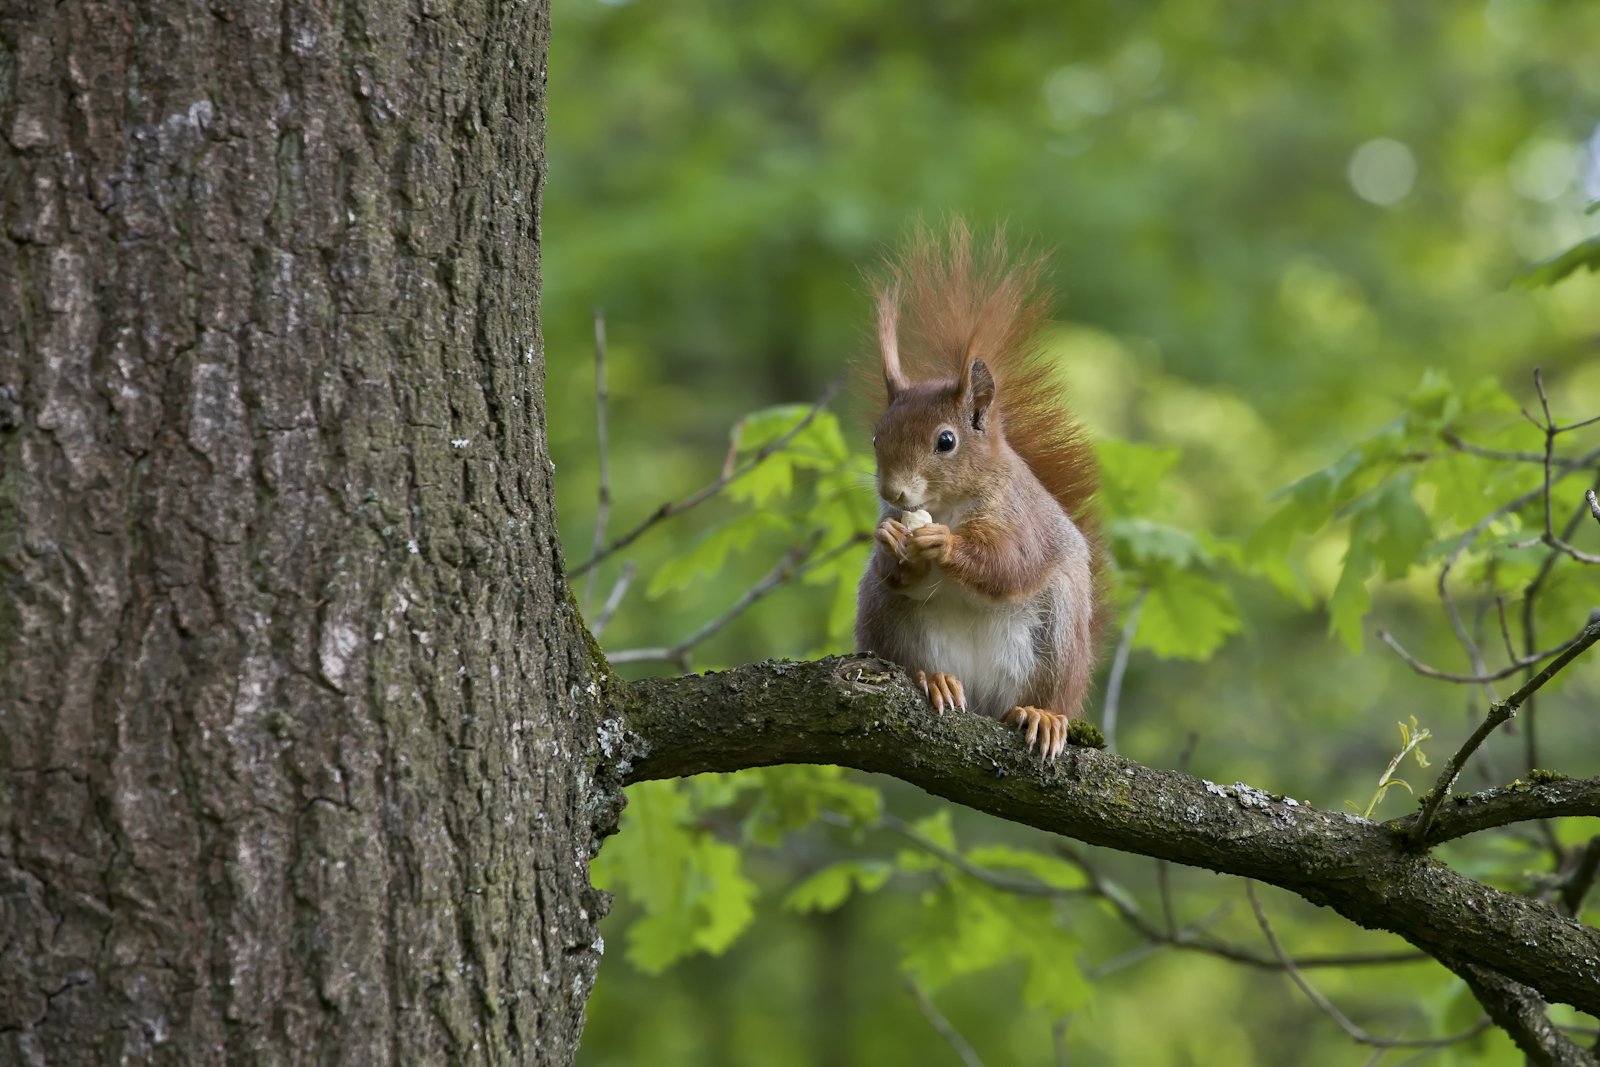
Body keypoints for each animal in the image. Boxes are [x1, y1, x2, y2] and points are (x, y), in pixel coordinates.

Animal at [857, 223, 1107, 758]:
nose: (894, 490)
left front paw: (944, 544)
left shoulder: (1020, 516)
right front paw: (893, 542)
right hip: (886, 619)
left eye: (946, 441)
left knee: (1048, 690)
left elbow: (1010, 563)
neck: (946, 507)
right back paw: (935, 680)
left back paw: (1042, 715)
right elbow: (895, 571)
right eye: (876, 438)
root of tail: (985, 699)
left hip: (1058, 634)